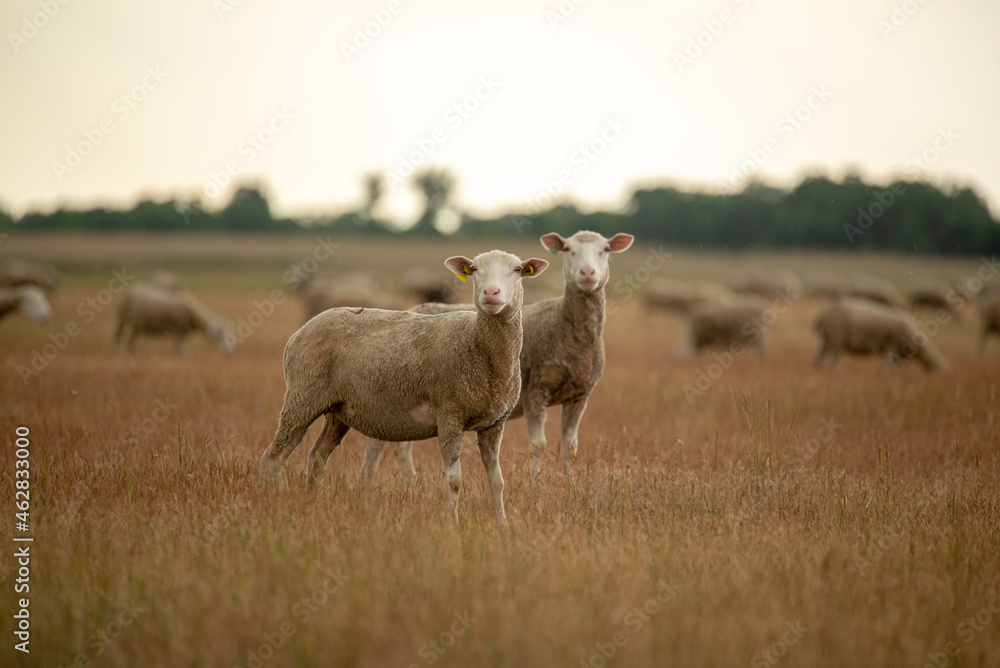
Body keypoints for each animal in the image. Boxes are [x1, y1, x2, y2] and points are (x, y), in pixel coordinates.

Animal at [259, 250, 549, 524]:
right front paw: (453, 524)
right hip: (302, 396)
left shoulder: (494, 424)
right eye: (474, 269)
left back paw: (312, 502)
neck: (478, 345)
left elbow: (497, 481)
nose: (491, 293)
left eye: (518, 270)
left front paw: (503, 524)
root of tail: (299, 333)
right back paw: (272, 501)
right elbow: (455, 481)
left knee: (316, 456)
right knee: (273, 457)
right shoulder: (450, 416)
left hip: (337, 409)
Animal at [364, 231, 635, 482]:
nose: (587, 274)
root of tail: (412, 308)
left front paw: (569, 482)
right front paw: (535, 483)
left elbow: (571, 446)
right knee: (383, 443)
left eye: (605, 250)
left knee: (400, 444)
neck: (567, 328)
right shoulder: (536, 390)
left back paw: (411, 484)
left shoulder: (580, 395)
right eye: (568, 249)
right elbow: (539, 445)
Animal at [813, 297, 950, 372]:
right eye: (935, 369)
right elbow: (888, 364)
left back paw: (817, 368)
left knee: (819, 356)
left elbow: (896, 366)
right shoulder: (892, 345)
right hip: (836, 338)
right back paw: (838, 372)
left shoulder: (898, 351)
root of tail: (821, 315)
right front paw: (887, 376)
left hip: (827, 339)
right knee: (834, 359)